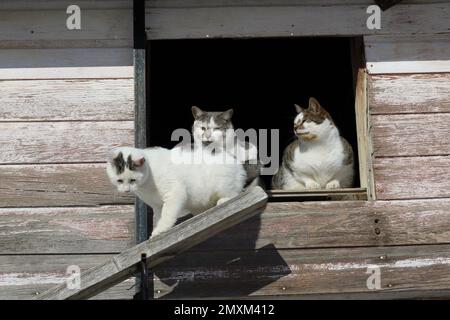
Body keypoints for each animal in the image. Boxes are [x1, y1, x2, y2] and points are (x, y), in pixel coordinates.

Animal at [106, 146, 246, 238]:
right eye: (119, 181)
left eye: (132, 180)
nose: (126, 190)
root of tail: (236, 163)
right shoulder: (157, 205)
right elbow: (159, 216)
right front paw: (158, 226)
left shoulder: (174, 192)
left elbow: (167, 214)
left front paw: (160, 230)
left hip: (222, 183)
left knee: (235, 193)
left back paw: (223, 200)